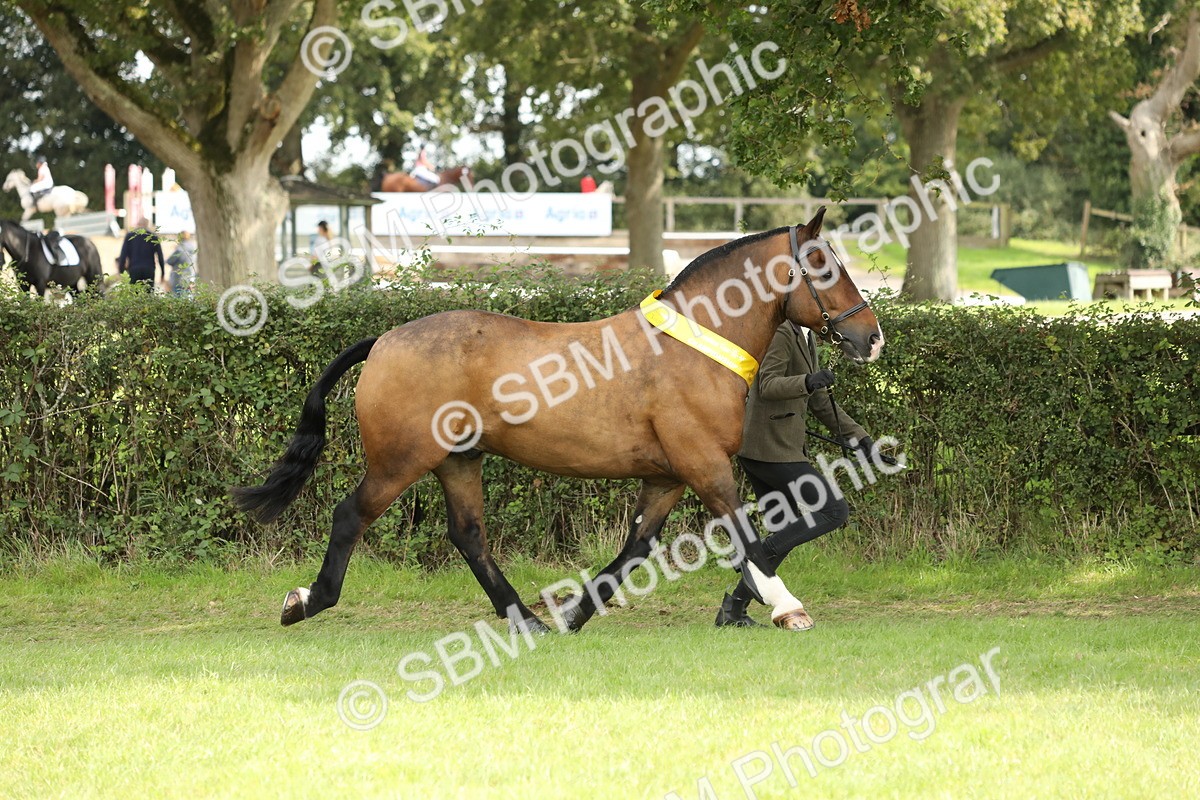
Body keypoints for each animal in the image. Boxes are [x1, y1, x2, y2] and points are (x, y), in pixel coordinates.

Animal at [234, 209, 884, 634]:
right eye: (822, 266)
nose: (871, 338)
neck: (696, 345)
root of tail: (386, 339)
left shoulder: (667, 477)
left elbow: (636, 546)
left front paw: (576, 612)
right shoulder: (704, 466)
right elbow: (746, 536)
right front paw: (786, 606)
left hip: (458, 461)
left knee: (469, 536)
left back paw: (527, 619)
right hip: (401, 460)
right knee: (351, 516)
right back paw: (307, 601)